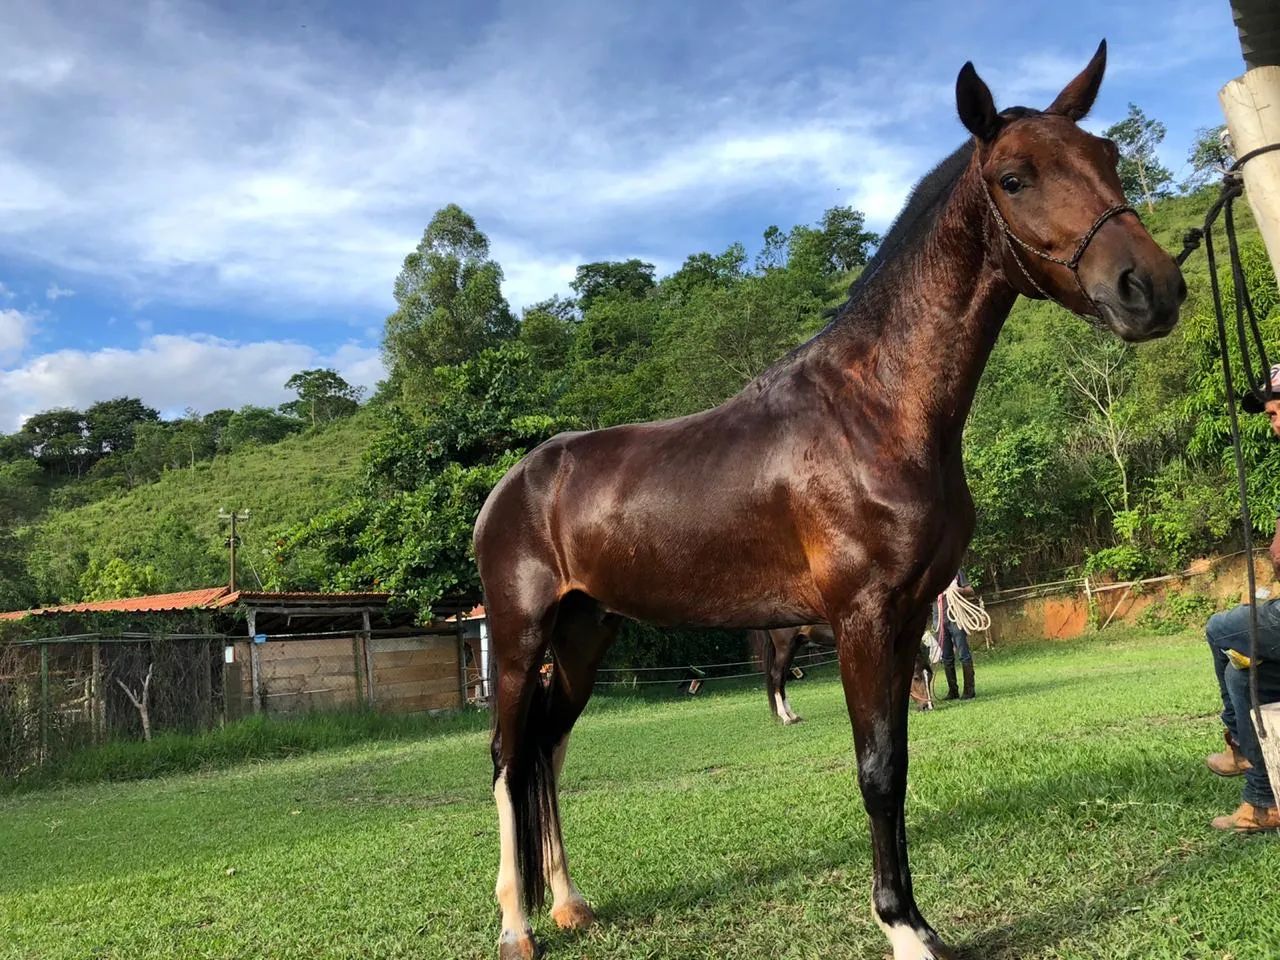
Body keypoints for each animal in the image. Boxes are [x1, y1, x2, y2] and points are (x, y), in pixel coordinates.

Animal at [754, 624, 934, 723]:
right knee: (777, 676)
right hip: (785, 647)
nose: (928, 706)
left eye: (930, 676)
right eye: (916, 677)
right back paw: (785, 717)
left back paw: (792, 715)